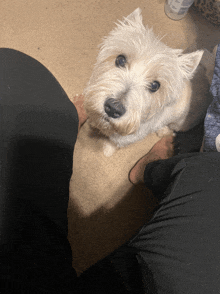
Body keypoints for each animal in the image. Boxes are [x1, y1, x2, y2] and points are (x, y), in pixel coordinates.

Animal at [84, 8, 211, 157]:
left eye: (155, 85)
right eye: (120, 60)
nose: (113, 108)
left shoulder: (126, 138)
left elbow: (113, 143)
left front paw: (107, 150)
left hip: (181, 123)